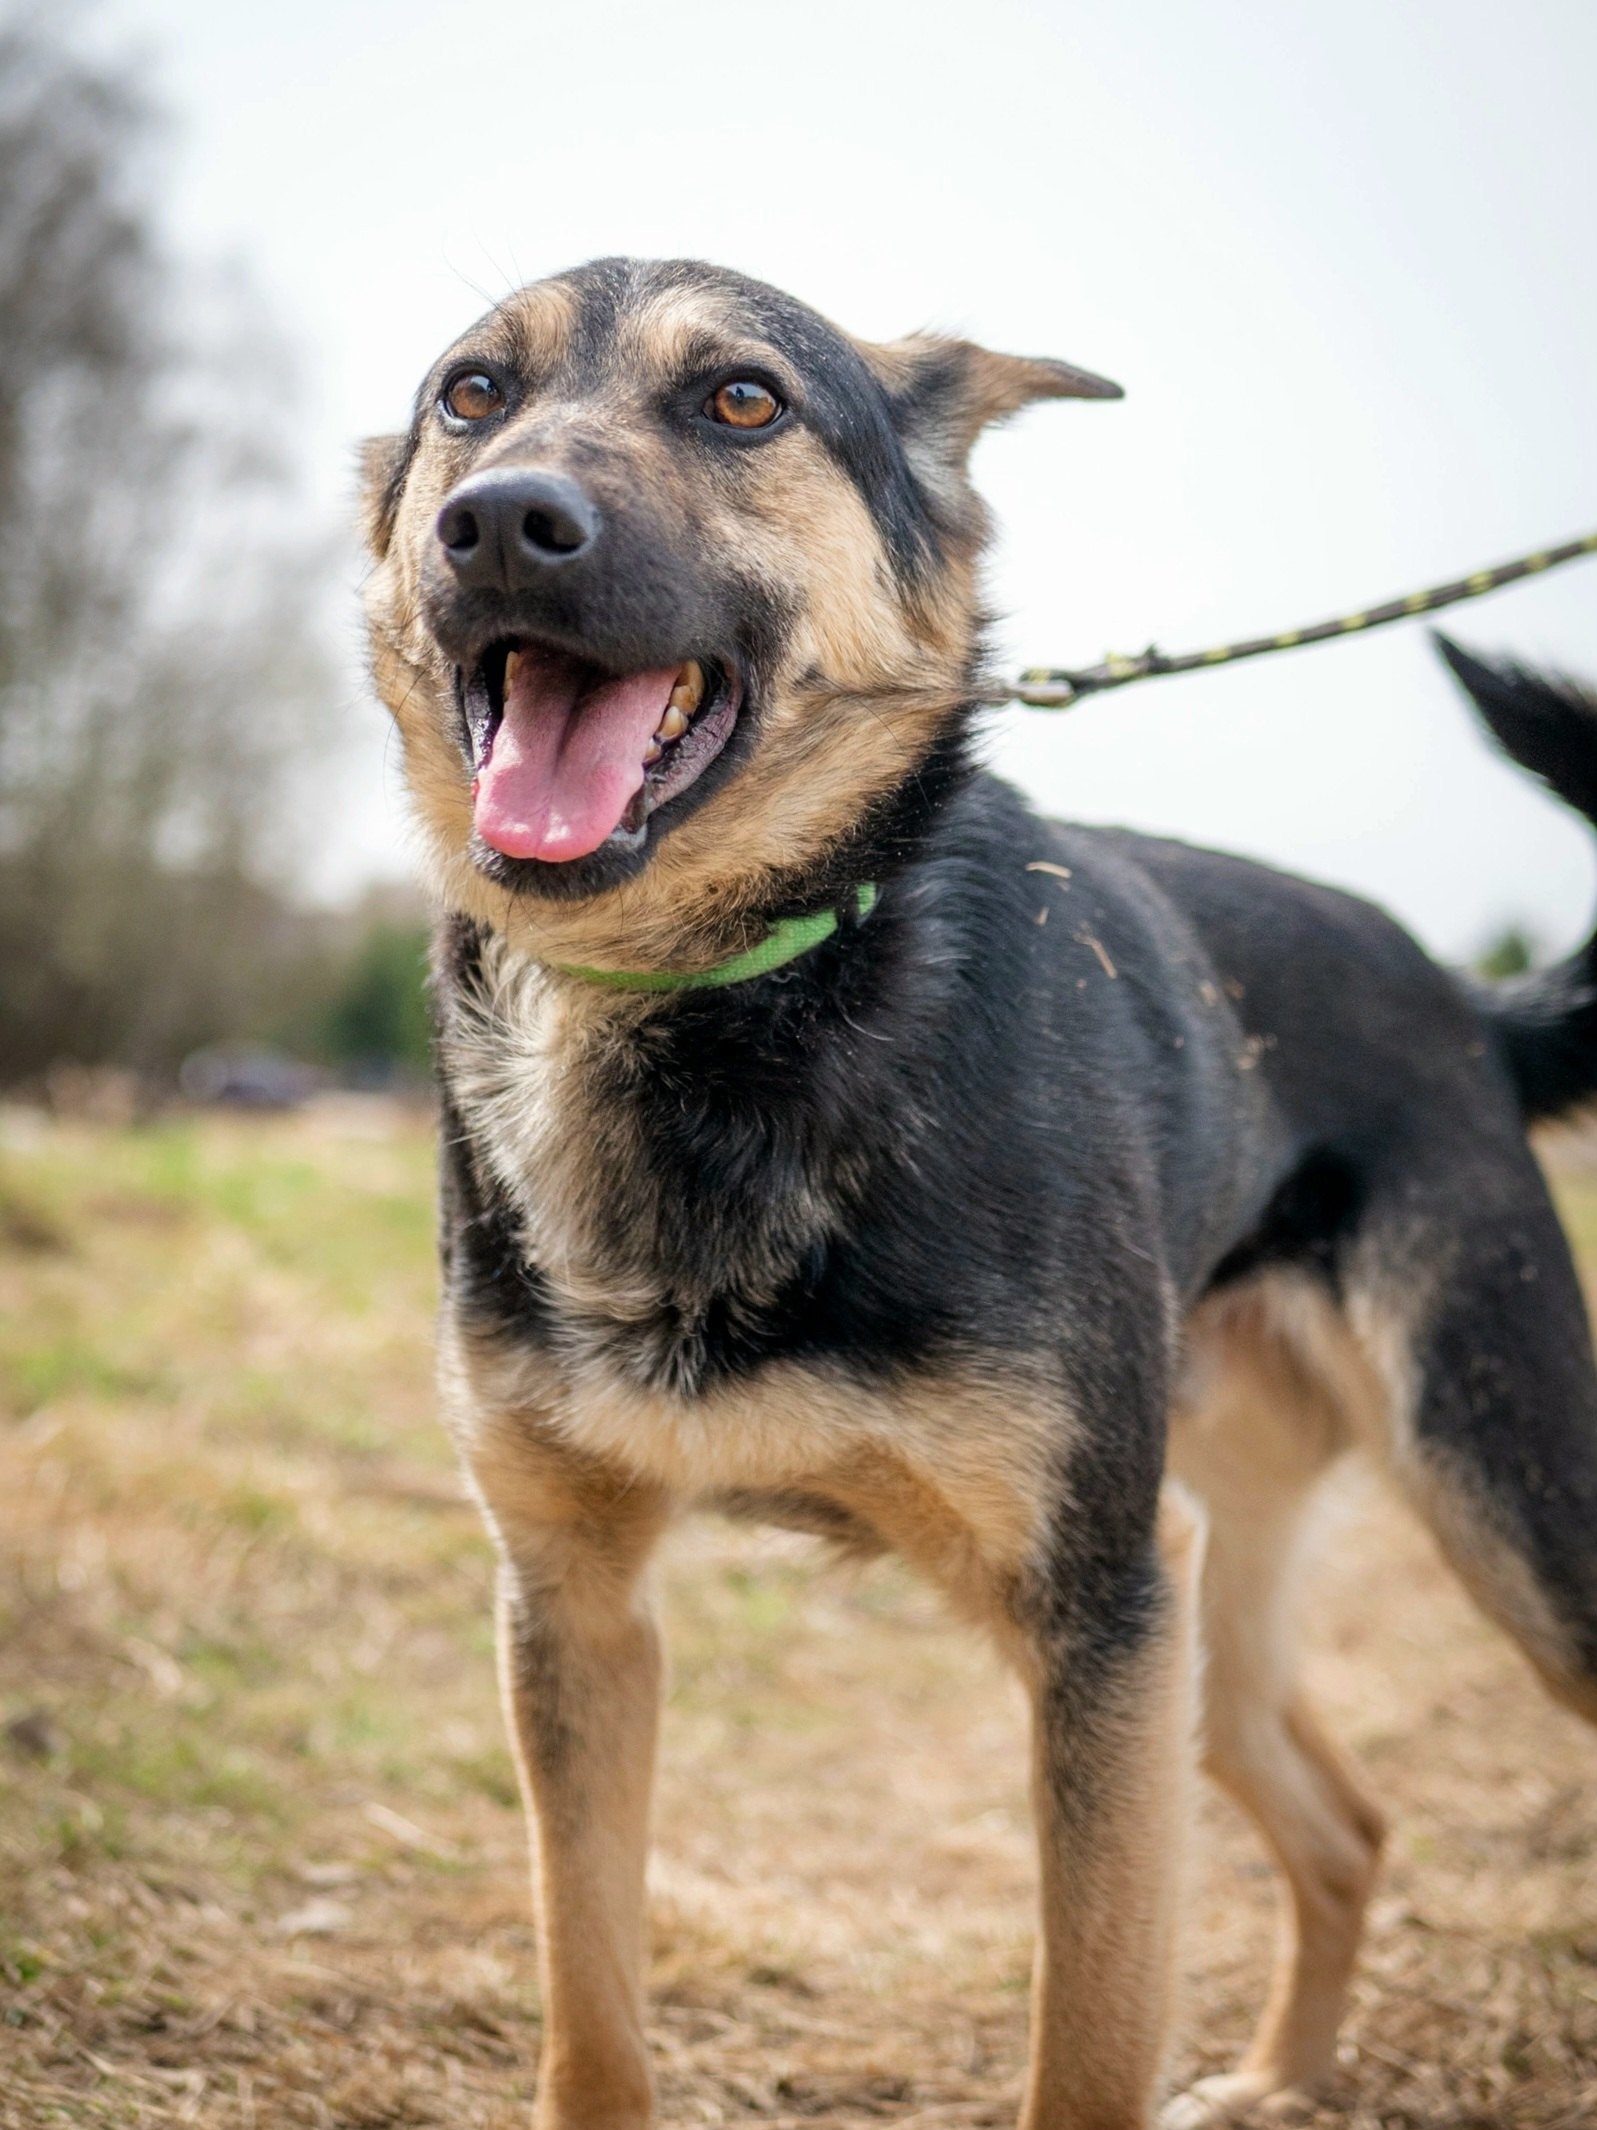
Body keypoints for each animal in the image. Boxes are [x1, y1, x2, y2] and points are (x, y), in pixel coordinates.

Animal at [359, 261, 1597, 2130]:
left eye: (740, 400)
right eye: (469, 394)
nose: (502, 519)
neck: (726, 996)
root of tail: (1465, 999)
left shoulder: (1093, 1624)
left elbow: (1083, 2039)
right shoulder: (575, 1609)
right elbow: (591, 2013)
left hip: (1485, 1508)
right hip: (1208, 1616)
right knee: (1345, 1822)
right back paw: (1276, 2079)